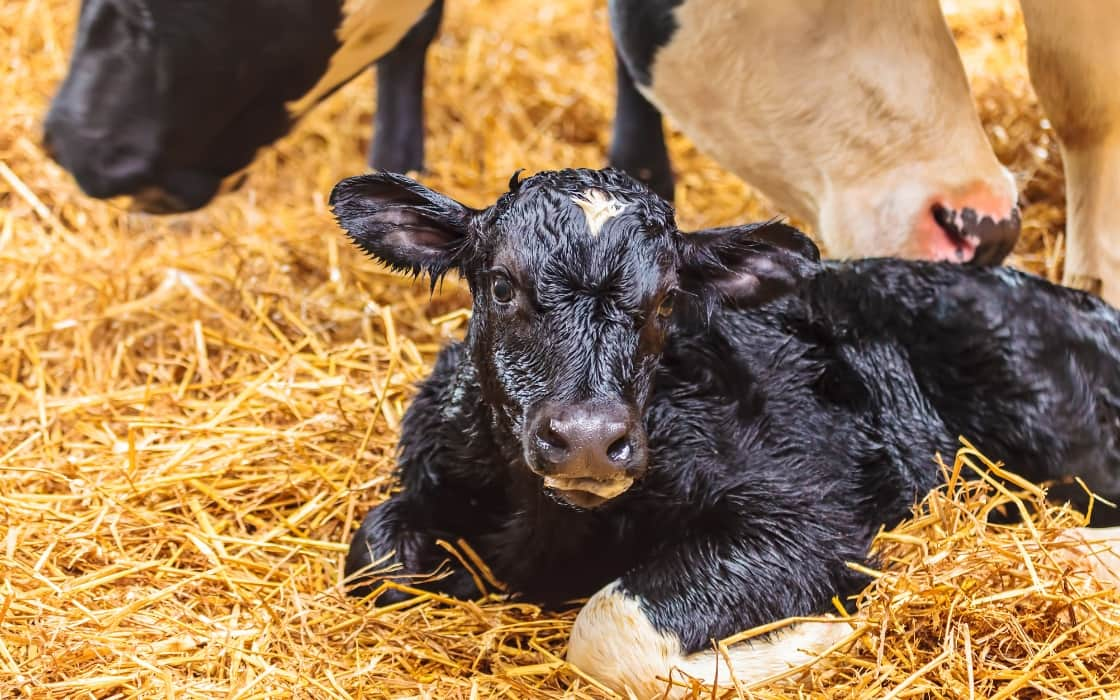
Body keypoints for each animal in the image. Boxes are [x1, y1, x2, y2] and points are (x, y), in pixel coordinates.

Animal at [331, 168, 1120, 694]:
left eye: (666, 301)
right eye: (501, 285)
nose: (587, 438)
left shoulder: (808, 516)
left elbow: (610, 627)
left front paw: (826, 633)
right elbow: (373, 557)